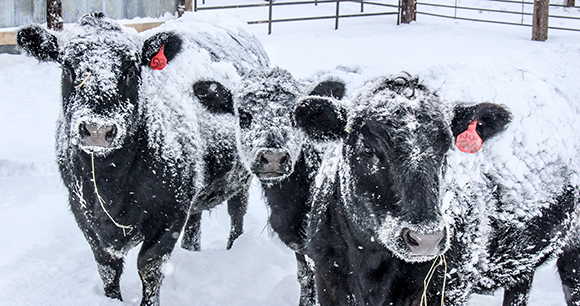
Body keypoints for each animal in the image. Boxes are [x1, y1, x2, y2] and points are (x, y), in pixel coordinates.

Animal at [294, 74, 580, 306]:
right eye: (368, 149)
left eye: (446, 148)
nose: (426, 238)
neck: (372, 268)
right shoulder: (327, 280)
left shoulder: (449, 288)